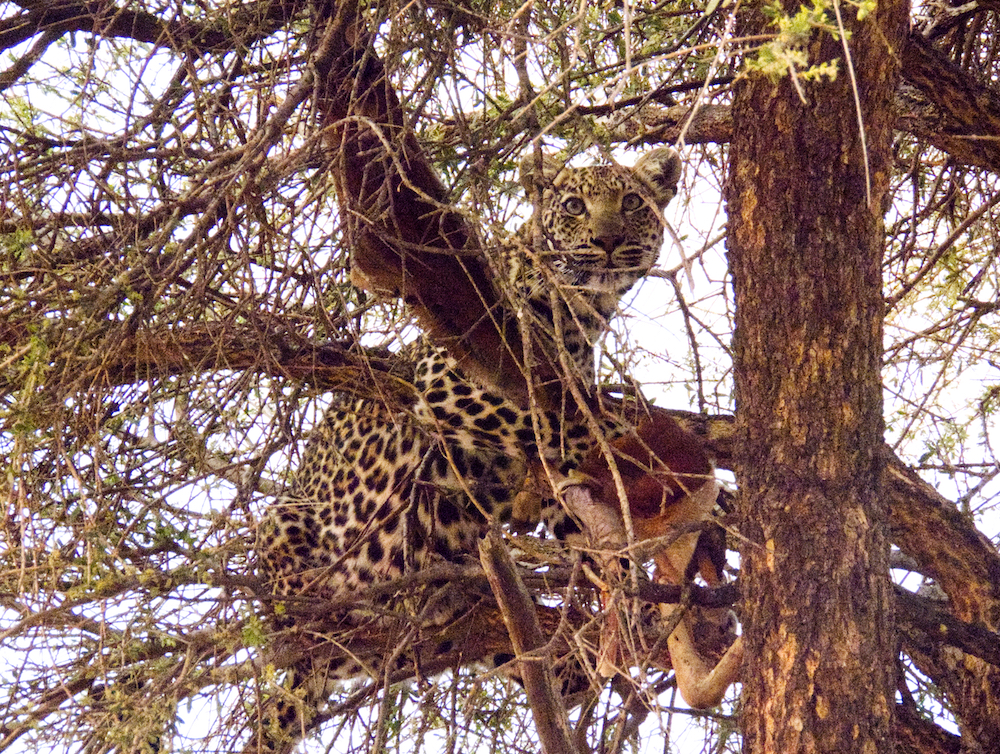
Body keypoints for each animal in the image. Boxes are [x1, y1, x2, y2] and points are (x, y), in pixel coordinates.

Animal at [254, 147, 684, 752]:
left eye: (631, 203)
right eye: (574, 206)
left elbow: (584, 514)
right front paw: (627, 434)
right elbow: (562, 422)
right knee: (295, 611)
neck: (584, 310)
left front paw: (633, 598)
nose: (606, 240)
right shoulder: (451, 380)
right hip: (288, 526)